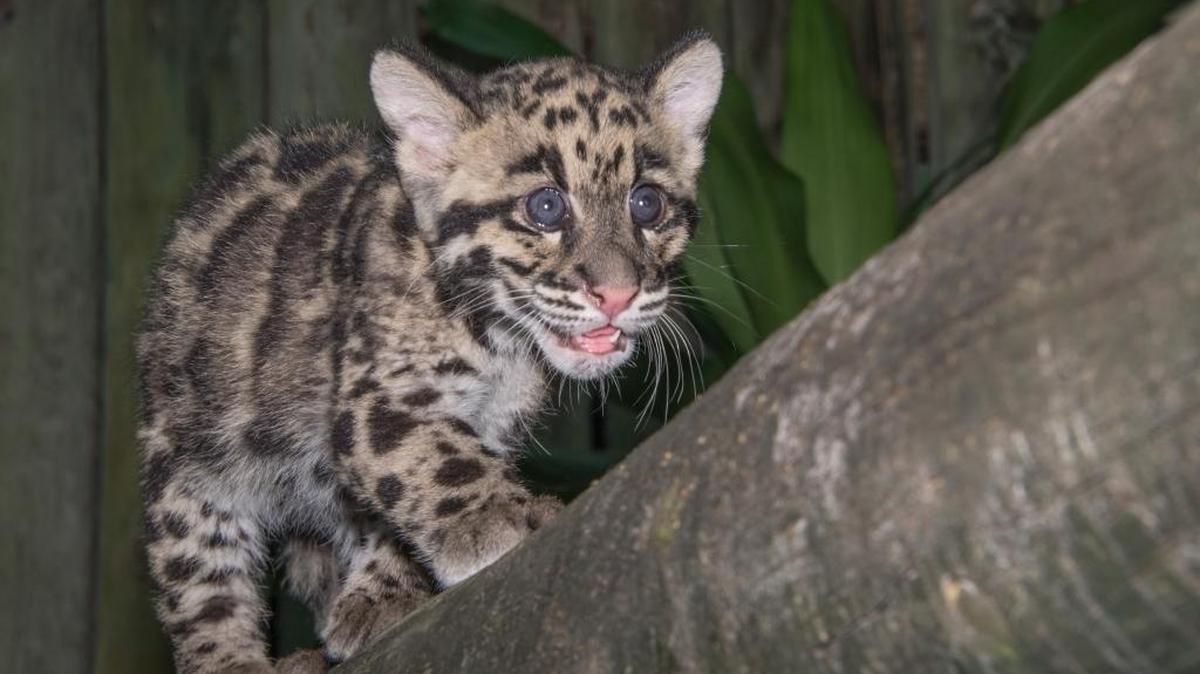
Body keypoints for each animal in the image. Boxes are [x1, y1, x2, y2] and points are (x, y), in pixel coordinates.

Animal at [136, 32, 723, 673]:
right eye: (545, 207)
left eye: (647, 205)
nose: (617, 294)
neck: (505, 346)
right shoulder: (378, 398)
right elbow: (435, 458)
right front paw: (507, 513)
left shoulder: (491, 419)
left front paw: (385, 593)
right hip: (191, 455)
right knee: (201, 579)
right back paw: (231, 657)